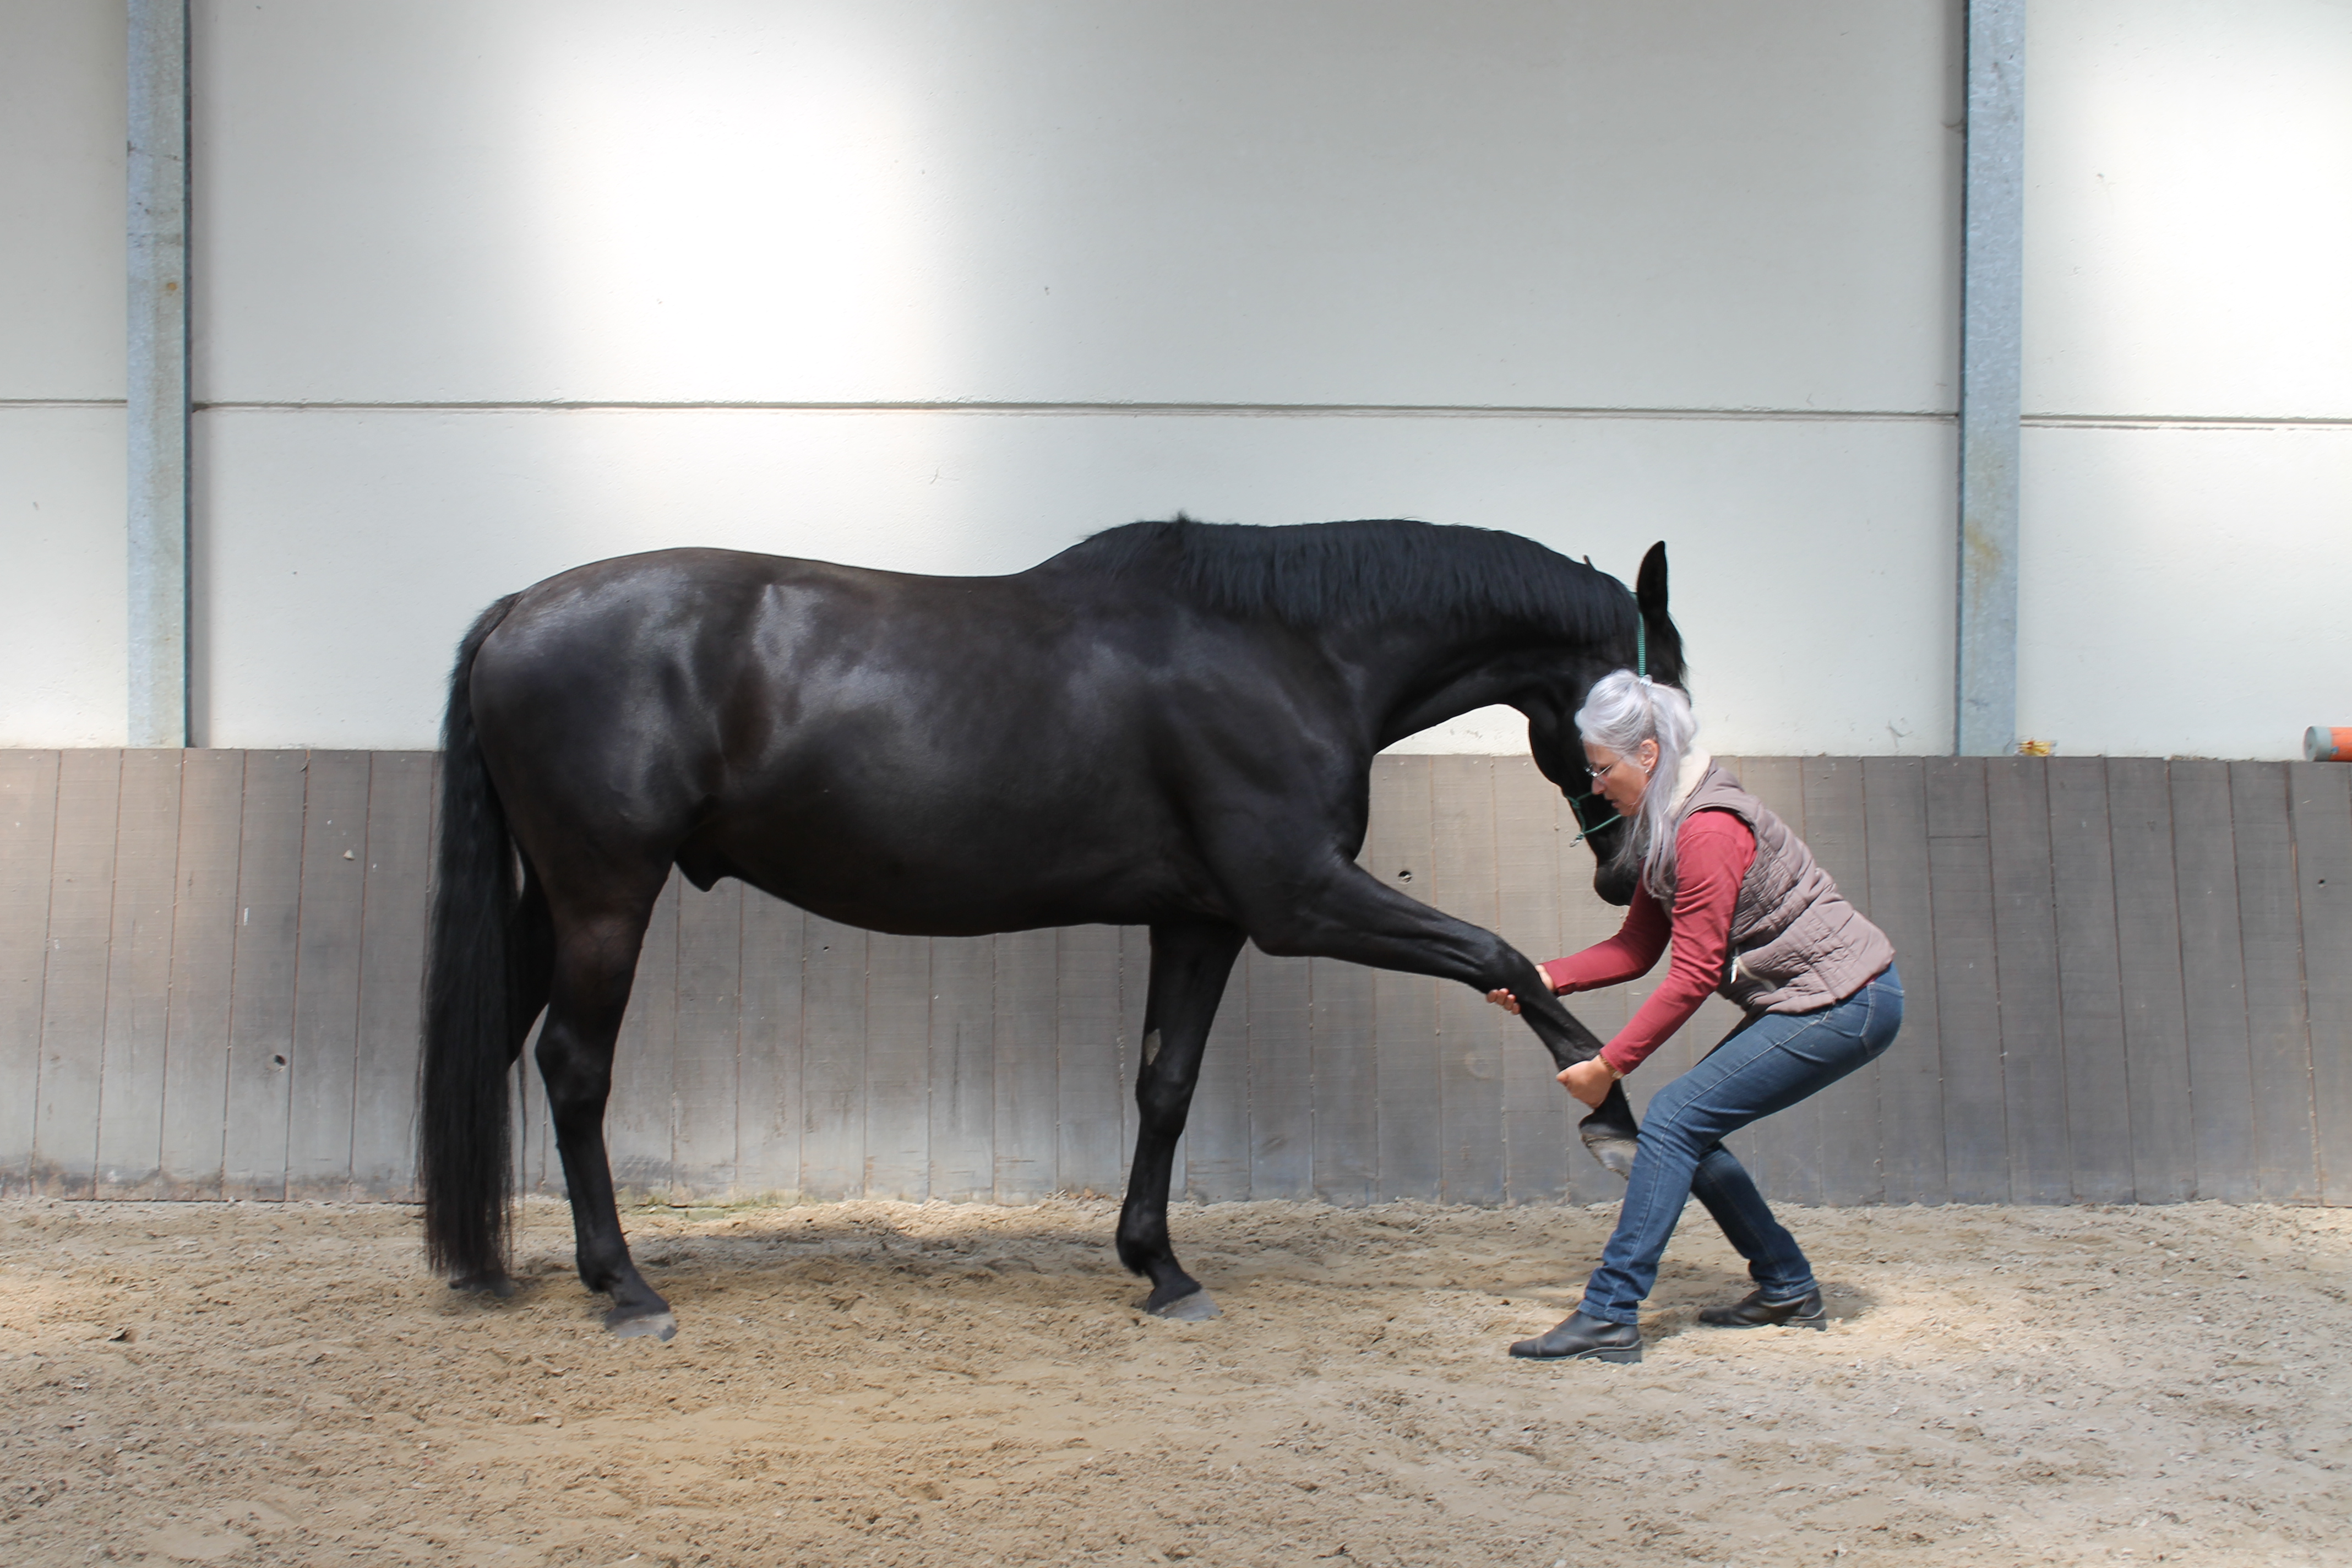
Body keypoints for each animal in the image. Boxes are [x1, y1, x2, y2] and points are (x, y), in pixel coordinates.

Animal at [420, 517, 1687, 1339]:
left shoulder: (1201, 921)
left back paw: (487, 1264)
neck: (1284, 646)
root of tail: (519, 610)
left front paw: (1159, 1266)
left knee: (498, 1050)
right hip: (606, 896)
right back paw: (625, 1287)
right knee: (574, 1068)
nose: (1632, 872)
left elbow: (1164, 1084)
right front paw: (1610, 1117)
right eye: (1667, 696)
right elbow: (1501, 957)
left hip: (557, 902)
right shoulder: (1298, 900)